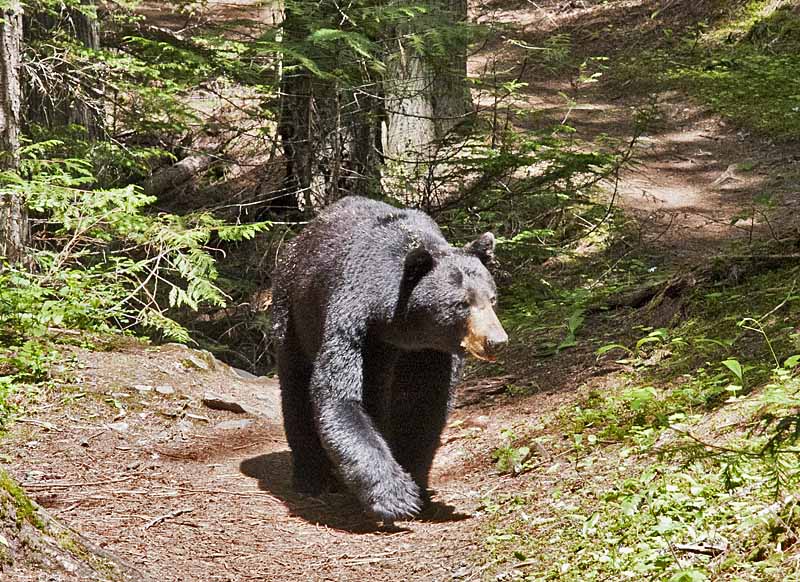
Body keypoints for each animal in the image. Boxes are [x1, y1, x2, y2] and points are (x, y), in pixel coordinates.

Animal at [270, 197, 506, 524]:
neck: (397, 325)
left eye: (492, 298)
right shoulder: (352, 322)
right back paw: (311, 477)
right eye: (461, 303)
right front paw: (396, 497)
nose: (496, 340)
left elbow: (421, 406)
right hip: (293, 311)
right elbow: (339, 397)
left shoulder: (428, 352)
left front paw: (417, 487)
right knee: (296, 389)